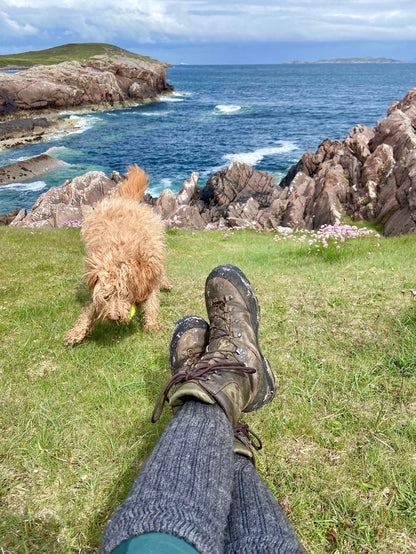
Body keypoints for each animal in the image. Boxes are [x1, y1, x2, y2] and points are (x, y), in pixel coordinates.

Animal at [66, 164, 173, 342]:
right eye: (107, 296)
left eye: (124, 294)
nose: (114, 317)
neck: (122, 254)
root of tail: (125, 200)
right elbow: (91, 307)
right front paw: (78, 330)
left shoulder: (150, 271)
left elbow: (151, 301)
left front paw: (151, 324)